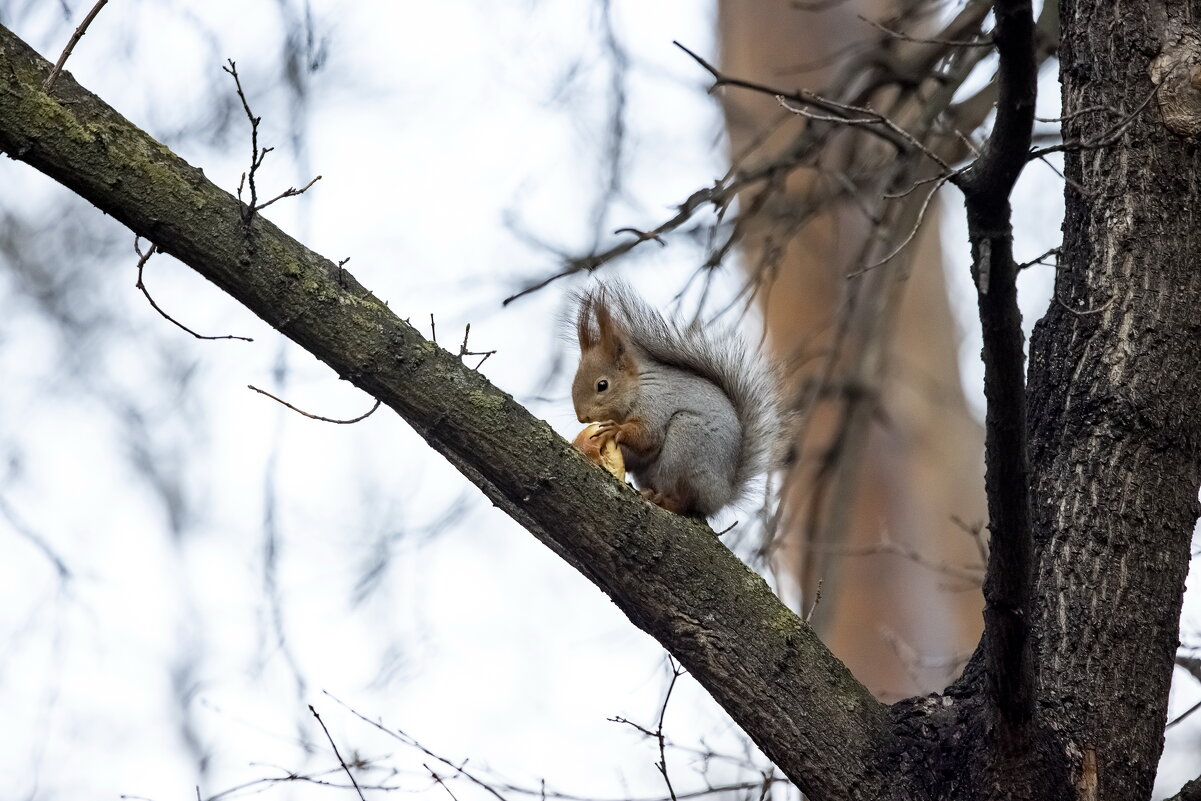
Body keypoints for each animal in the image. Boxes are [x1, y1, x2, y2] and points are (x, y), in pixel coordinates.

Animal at [569, 284, 778, 516]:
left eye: (602, 385)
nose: (582, 417)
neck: (638, 388)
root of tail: (720, 497)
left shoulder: (655, 403)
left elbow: (648, 436)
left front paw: (616, 429)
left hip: (686, 444)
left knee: (684, 501)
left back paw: (664, 501)